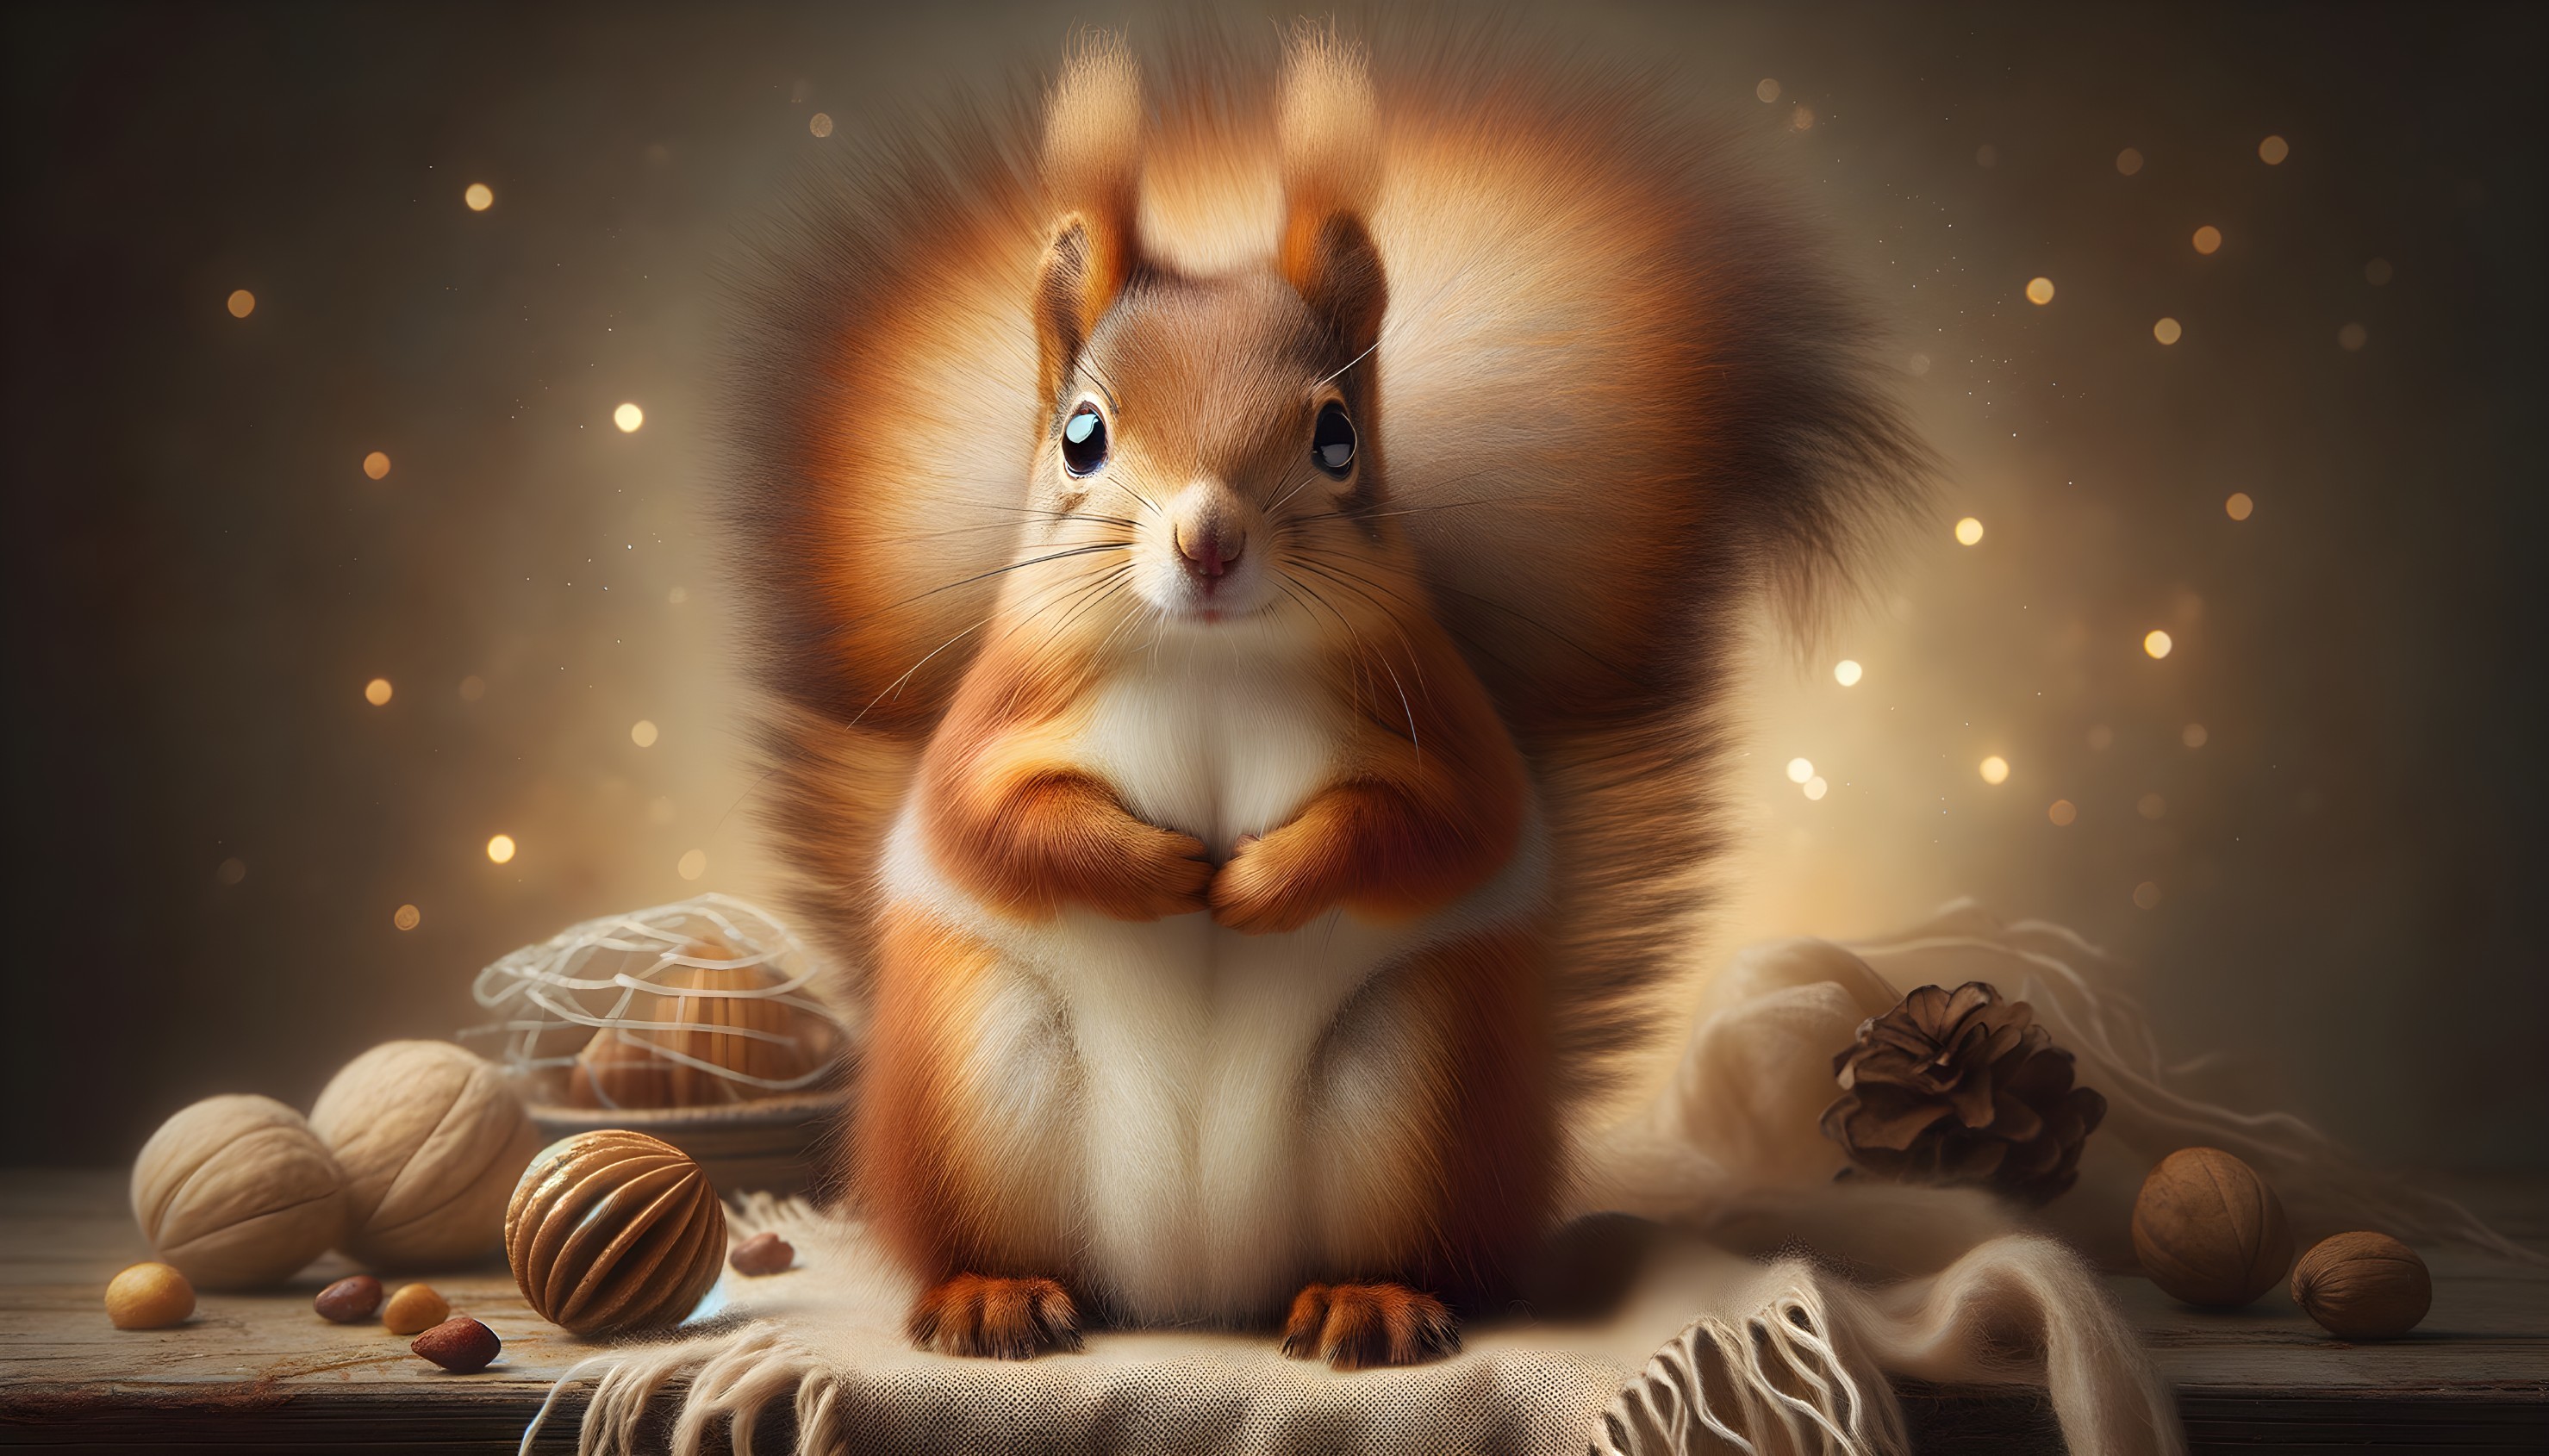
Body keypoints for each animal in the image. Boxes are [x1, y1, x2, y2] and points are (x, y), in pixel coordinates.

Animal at [726, 24, 1920, 1369]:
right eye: (1082, 435)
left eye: (1338, 435)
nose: (1208, 540)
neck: (1209, 658)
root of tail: (1193, 1291)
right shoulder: (990, 726)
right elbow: (990, 822)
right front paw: (1158, 868)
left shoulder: (1443, 727)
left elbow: (1441, 827)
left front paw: (1254, 882)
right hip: (979, 1084)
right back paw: (993, 1293)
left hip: (1410, 1087)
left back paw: (1369, 1302)